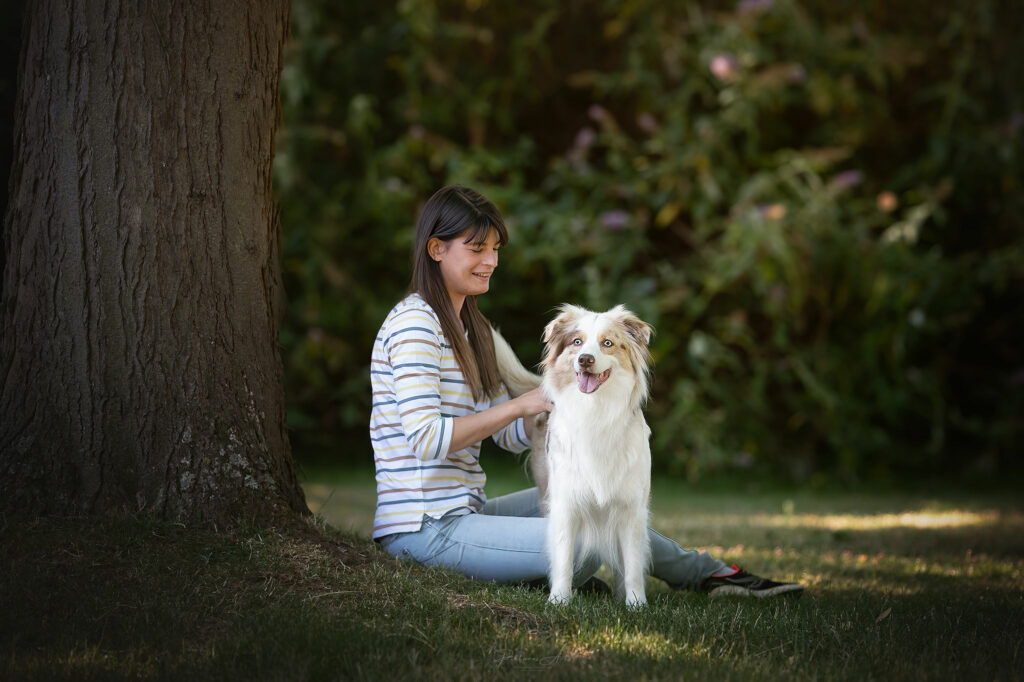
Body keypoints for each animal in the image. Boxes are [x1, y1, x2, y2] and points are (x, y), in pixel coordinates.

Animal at [491, 303, 651, 606]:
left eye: (607, 343)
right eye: (577, 342)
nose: (585, 359)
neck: (595, 411)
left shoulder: (631, 508)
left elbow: (633, 563)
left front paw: (636, 604)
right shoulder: (564, 503)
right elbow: (564, 556)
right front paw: (559, 601)